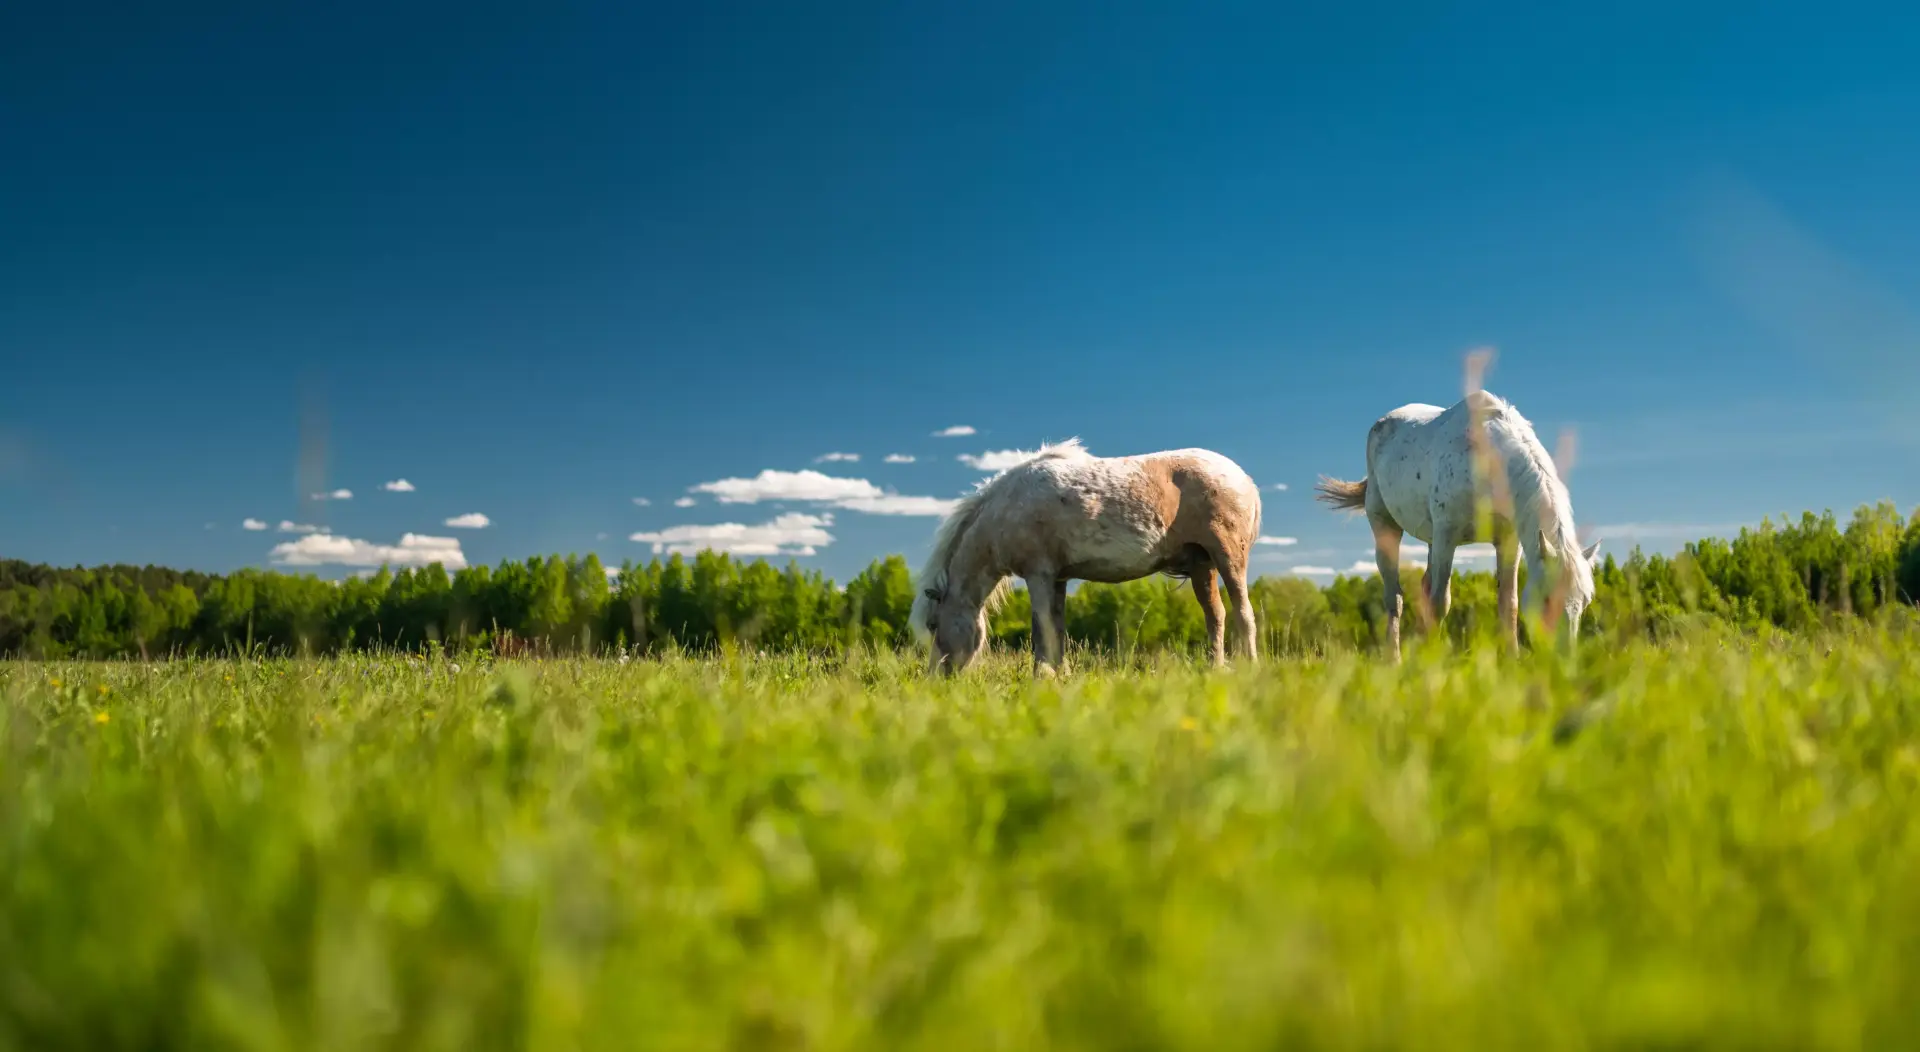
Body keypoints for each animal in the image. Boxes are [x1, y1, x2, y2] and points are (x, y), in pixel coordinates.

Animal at [910, 439, 1259, 679]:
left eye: (932, 624)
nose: (936, 680)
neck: (1004, 510)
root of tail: (1244, 479)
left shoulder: (1038, 575)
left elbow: (1041, 628)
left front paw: (1041, 677)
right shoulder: (1057, 578)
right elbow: (1057, 627)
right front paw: (1059, 674)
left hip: (1228, 558)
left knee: (1243, 613)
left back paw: (1251, 667)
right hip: (1202, 566)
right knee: (1215, 616)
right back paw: (1215, 668)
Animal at [1313, 389, 1597, 660]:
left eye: (1584, 601)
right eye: (1547, 599)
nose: (1562, 658)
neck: (1487, 459)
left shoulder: (1508, 542)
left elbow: (1509, 603)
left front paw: (1512, 659)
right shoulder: (1446, 537)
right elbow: (1441, 602)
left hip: (1431, 542)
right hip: (1386, 527)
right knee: (1395, 597)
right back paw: (1394, 659)